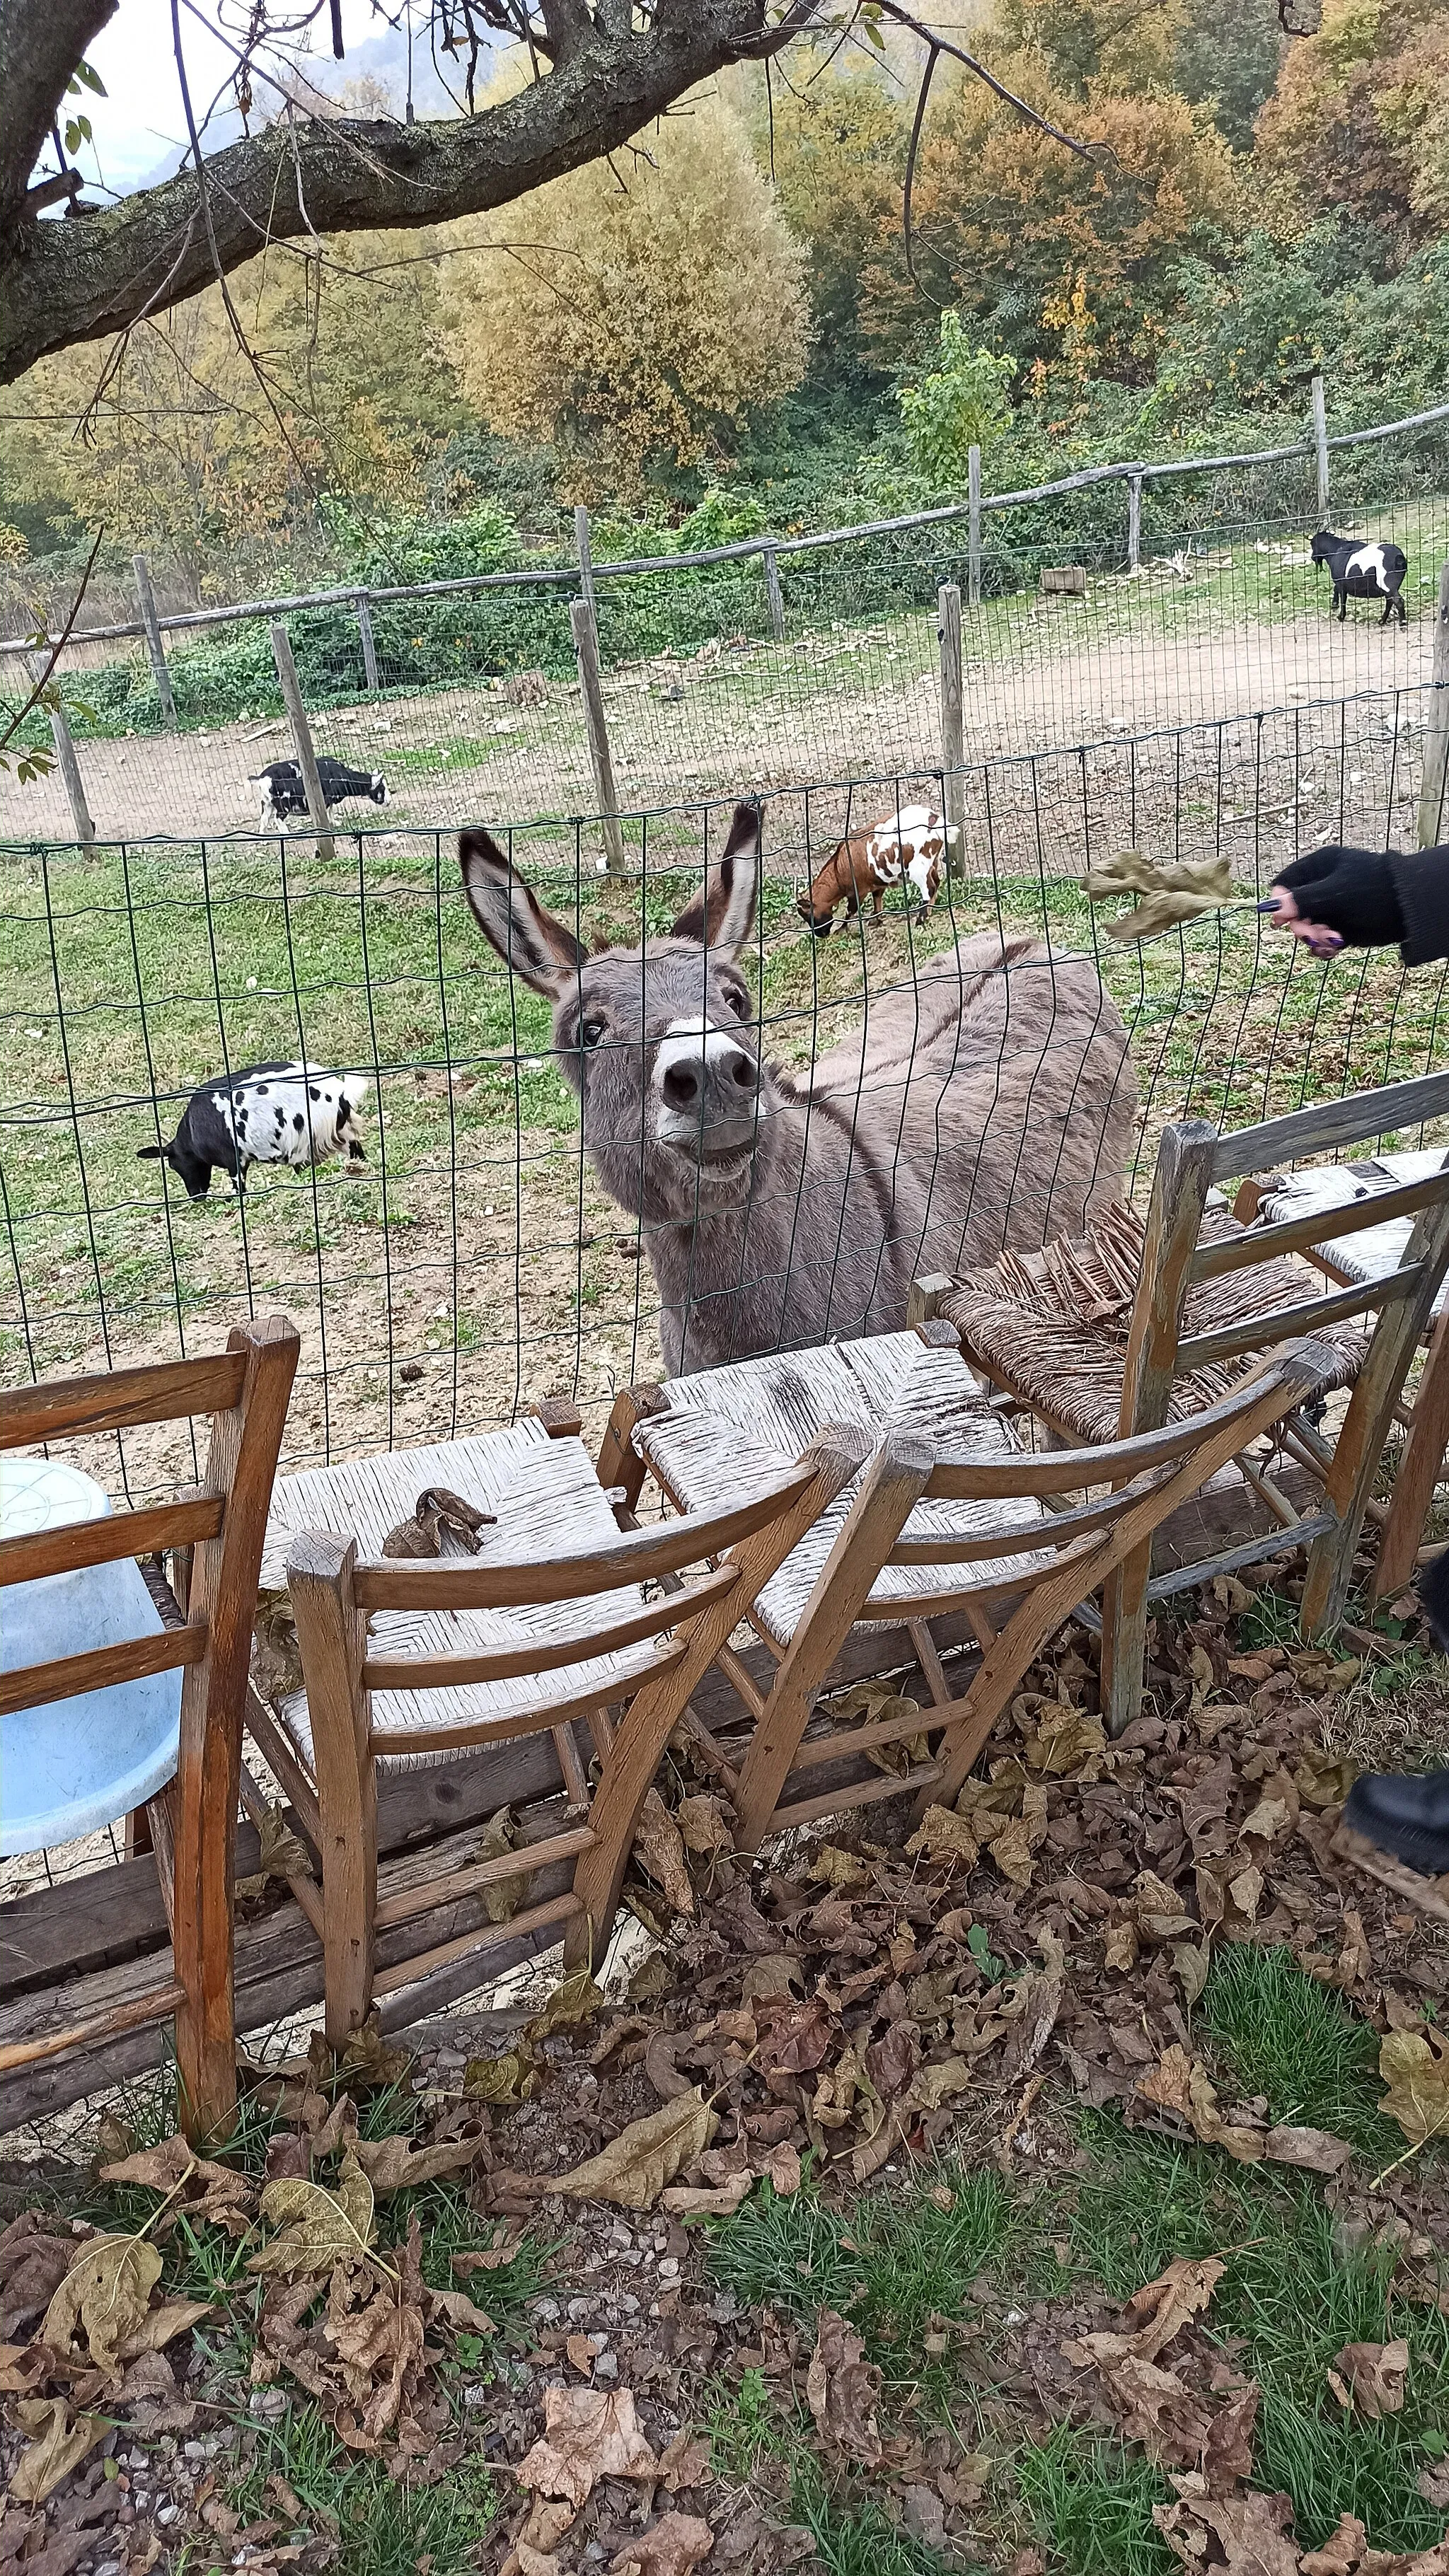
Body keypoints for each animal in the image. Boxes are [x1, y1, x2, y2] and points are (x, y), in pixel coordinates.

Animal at [137, 1056, 369, 1195]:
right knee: (356, 1150)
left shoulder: (234, 1160)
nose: (196, 1196)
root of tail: (339, 1093)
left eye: (173, 1165)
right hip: (341, 1132)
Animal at [247, 752, 386, 824]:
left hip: (267, 802)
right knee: (278, 819)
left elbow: (331, 810)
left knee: (264, 819)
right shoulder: (327, 798)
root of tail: (262, 778)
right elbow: (327, 811)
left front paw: (335, 823)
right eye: (382, 788)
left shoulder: (330, 799)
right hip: (283, 804)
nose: (388, 802)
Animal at [789, 803, 959, 937]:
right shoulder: (877, 883)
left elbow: (851, 910)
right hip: (932, 863)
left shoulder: (857, 891)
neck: (838, 868)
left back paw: (920, 920)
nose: (821, 934)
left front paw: (842, 929)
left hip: (919, 867)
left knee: (929, 888)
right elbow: (877, 901)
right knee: (936, 882)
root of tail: (934, 819)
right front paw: (876, 921)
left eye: (808, 915)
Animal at [1310, 523, 1402, 623]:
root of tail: (1399, 557)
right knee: (1390, 601)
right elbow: (1336, 589)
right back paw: (1382, 620)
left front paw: (1341, 616)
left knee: (1398, 601)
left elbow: (1342, 599)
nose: (1312, 557)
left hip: (1387, 584)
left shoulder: (1341, 583)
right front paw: (1334, 605)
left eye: (1312, 544)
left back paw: (1402, 623)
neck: (1336, 549)